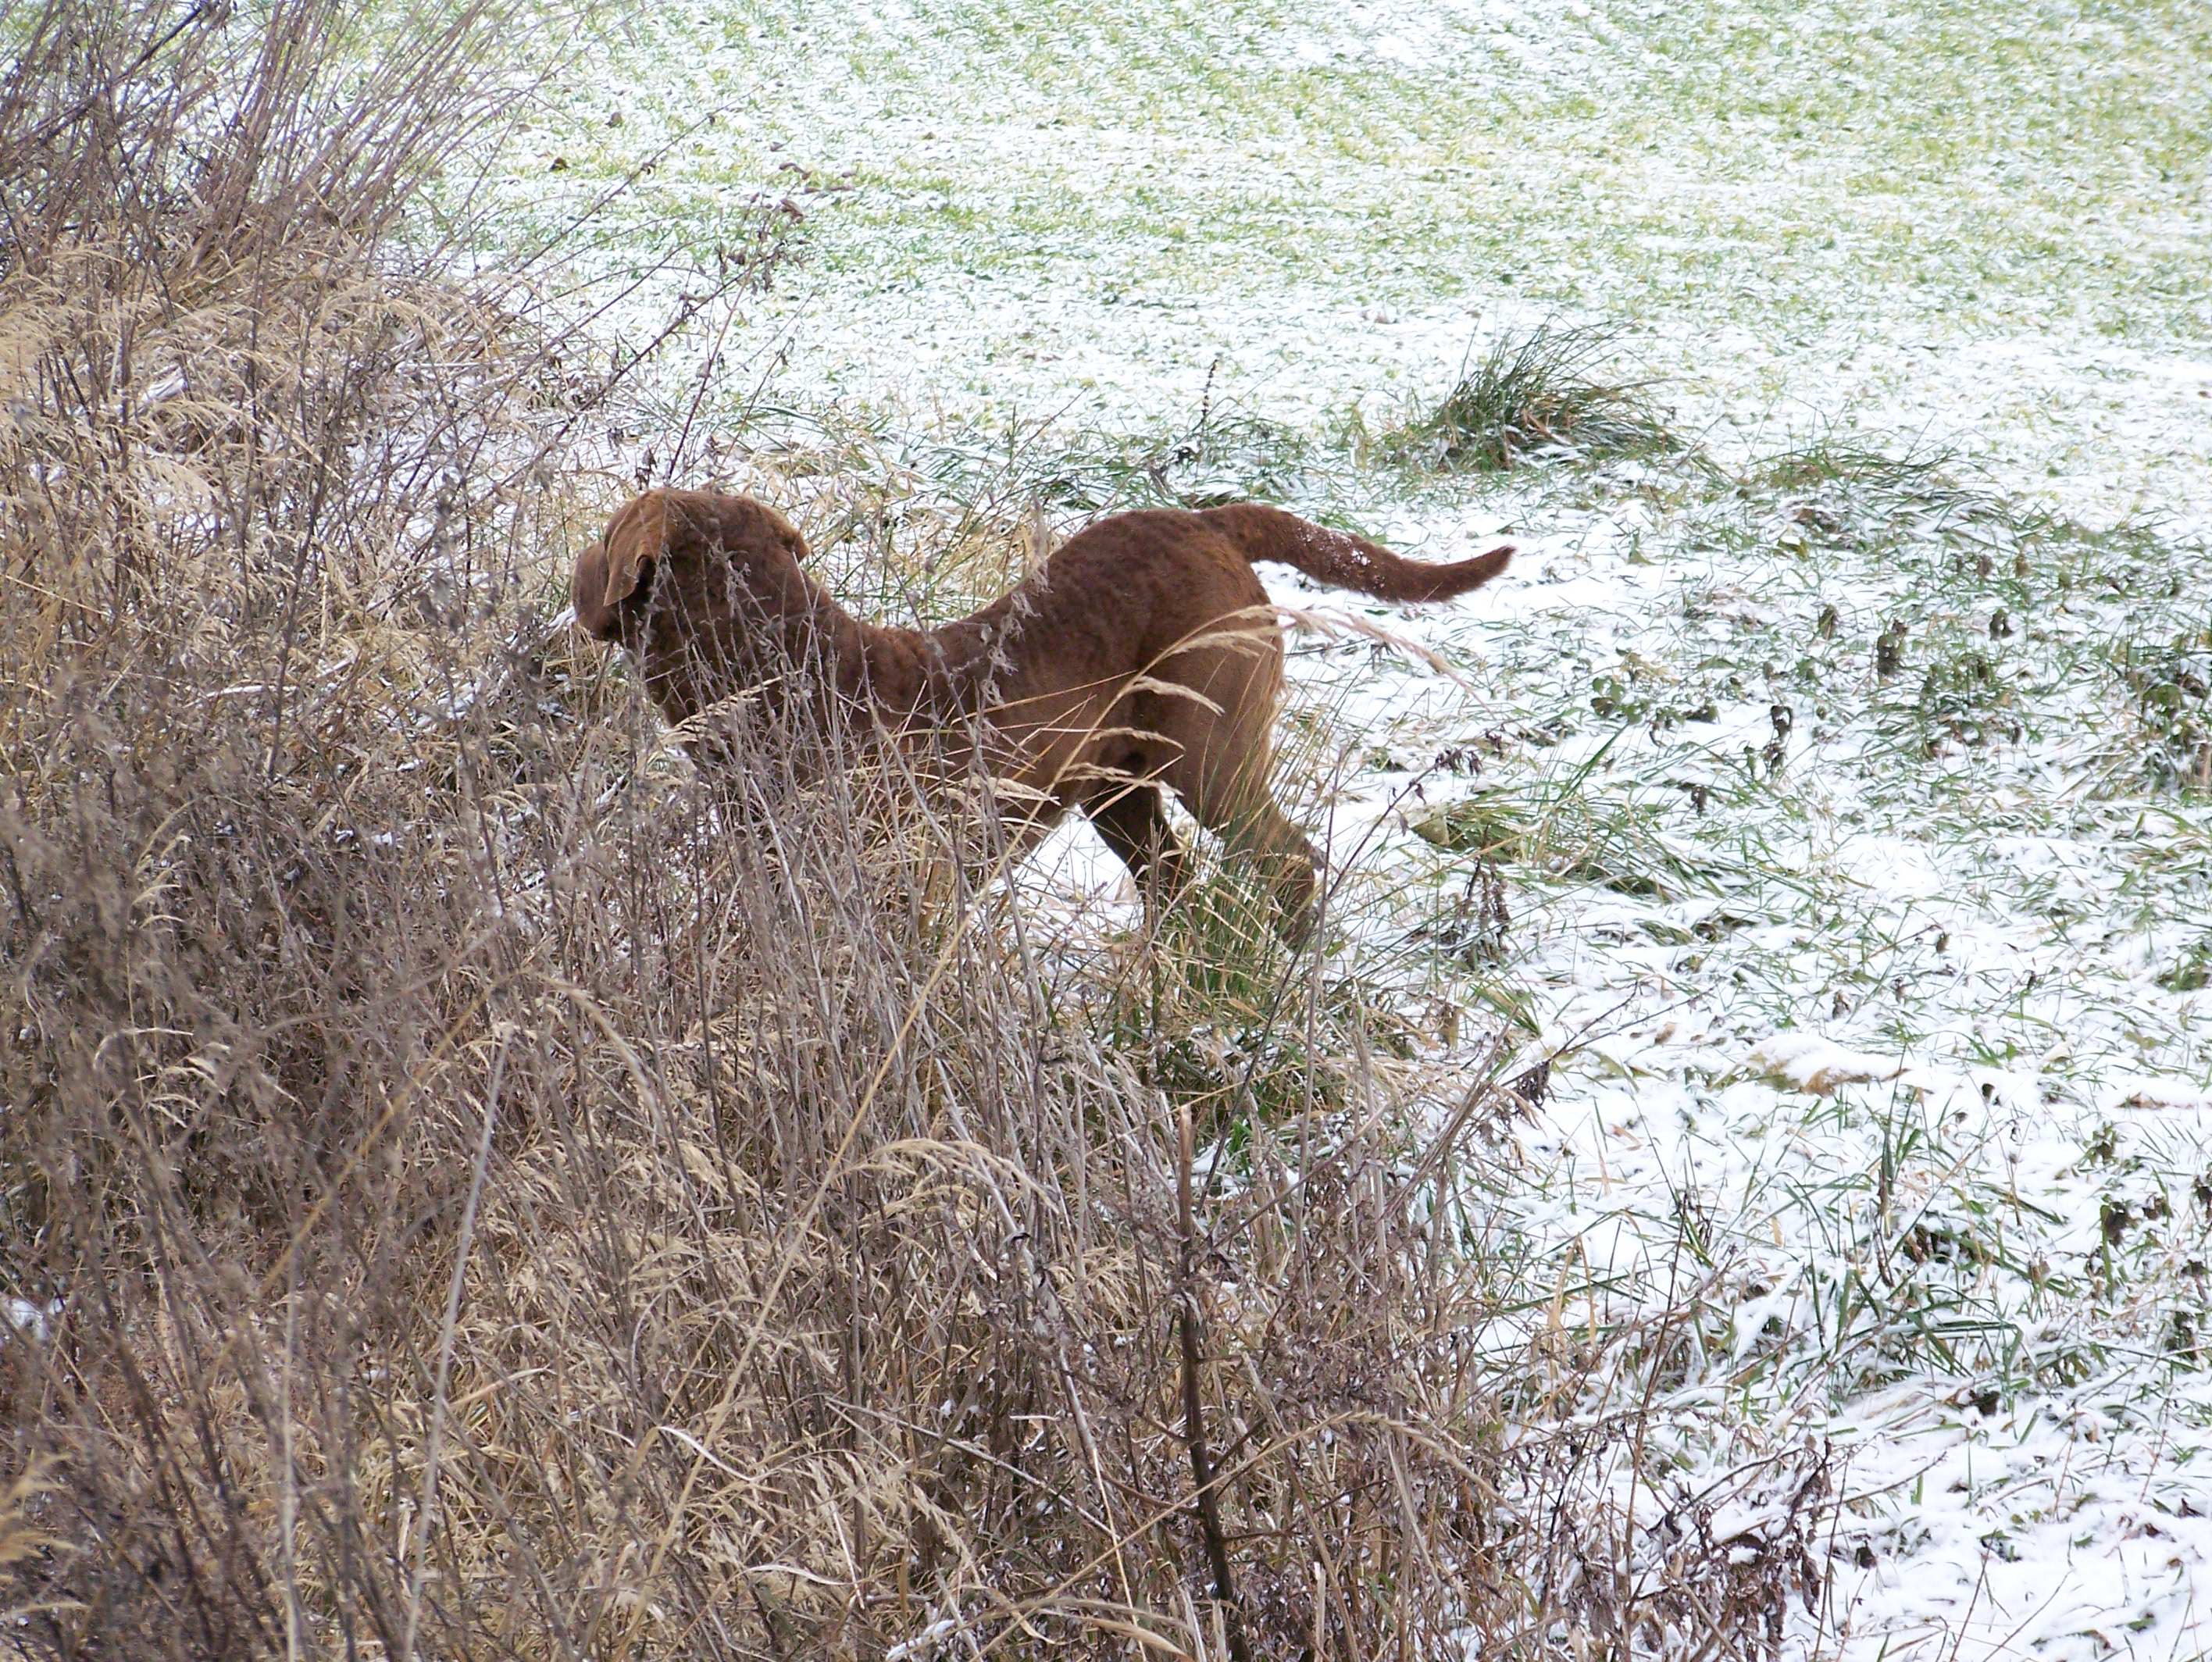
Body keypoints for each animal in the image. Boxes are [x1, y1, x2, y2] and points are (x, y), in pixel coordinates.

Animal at [570, 491, 1513, 938]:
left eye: (608, 536)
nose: (578, 576)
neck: (787, 674)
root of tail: (1208, 521)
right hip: (1116, 787)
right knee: (1172, 879)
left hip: (1210, 753)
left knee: (1285, 862)